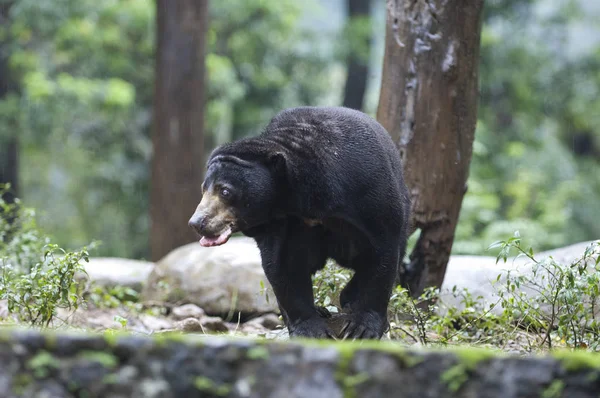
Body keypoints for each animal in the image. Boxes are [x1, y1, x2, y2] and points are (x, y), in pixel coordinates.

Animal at [189, 107, 412, 340]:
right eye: (204, 188)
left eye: (225, 191)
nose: (197, 222)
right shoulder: (282, 223)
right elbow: (284, 265)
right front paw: (311, 328)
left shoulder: (367, 190)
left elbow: (382, 249)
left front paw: (361, 328)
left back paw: (349, 299)